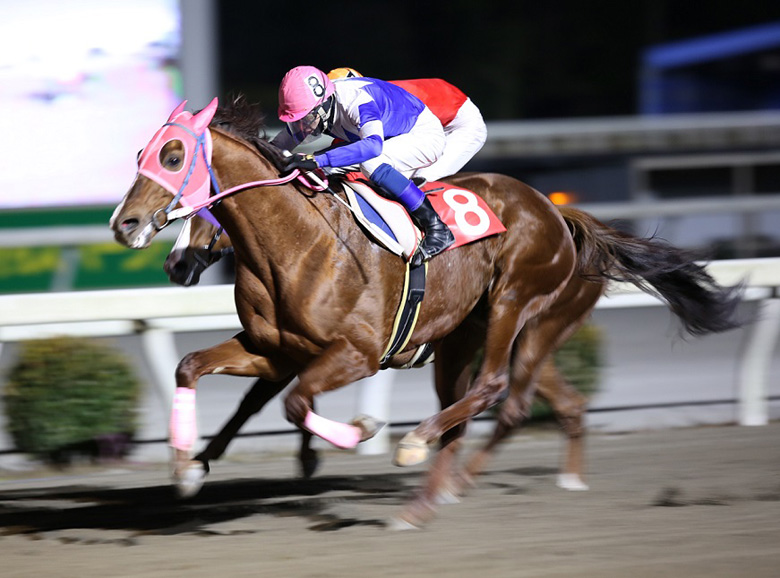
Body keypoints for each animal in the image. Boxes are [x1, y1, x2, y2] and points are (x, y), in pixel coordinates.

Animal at [111, 97, 743, 527]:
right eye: (140, 154)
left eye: (173, 155)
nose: (125, 225)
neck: (296, 243)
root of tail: (559, 214)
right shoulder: (275, 349)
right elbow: (194, 368)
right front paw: (188, 468)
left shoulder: (357, 353)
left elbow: (293, 403)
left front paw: (360, 431)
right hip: (471, 336)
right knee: (504, 407)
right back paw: (431, 499)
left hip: (517, 306)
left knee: (495, 392)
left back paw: (425, 458)